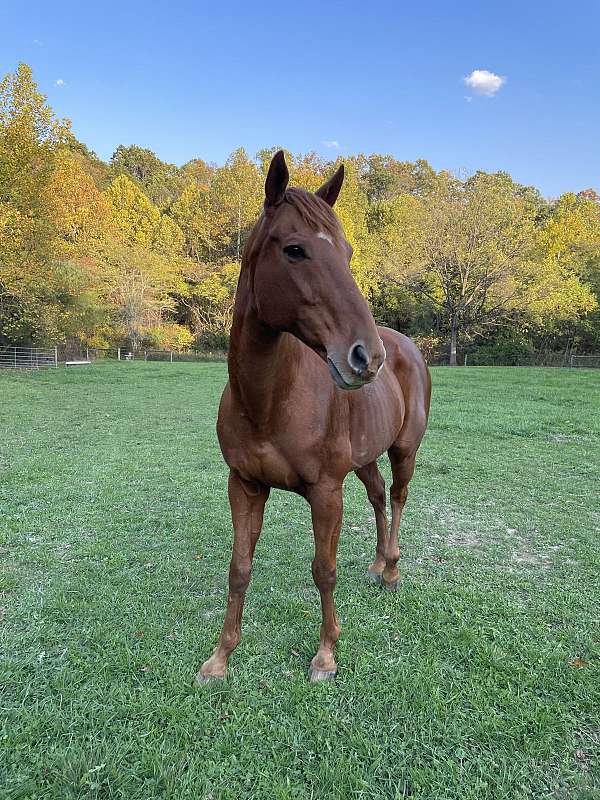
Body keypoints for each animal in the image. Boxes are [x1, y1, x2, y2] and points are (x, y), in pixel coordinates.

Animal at [199, 152, 428, 680]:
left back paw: (392, 569)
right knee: (379, 496)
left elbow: (324, 570)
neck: (270, 402)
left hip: (404, 450)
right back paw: (376, 564)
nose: (366, 357)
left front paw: (326, 654)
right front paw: (221, 657)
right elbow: (239, 569)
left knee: (399, 498)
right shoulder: (244, 485)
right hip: (365, 459)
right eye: (295, 250)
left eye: (347, 253)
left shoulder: (326, 492)